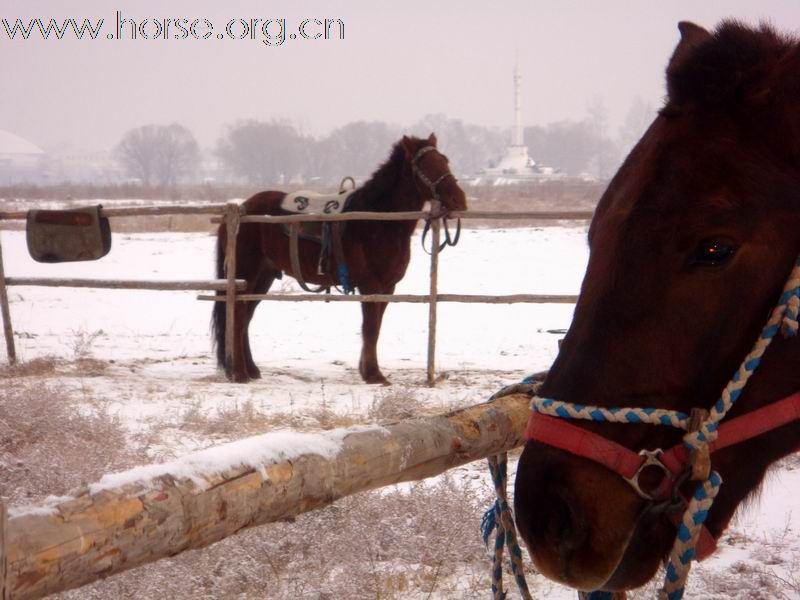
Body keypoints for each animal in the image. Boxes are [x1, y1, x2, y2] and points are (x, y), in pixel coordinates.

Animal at [212, 133, 466, 382]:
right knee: (237, 316)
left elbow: (375, 328)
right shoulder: (371, 286)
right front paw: (374, 375)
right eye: (425, 166)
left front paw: (368, 370)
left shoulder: (388, 287)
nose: (459, 200)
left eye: (444, 161)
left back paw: (251, 370)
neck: (378, 220)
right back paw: (240, 373)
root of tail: (240, 208)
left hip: (263, 277)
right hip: (246, 275)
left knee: (245, 318)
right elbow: (370, 328)